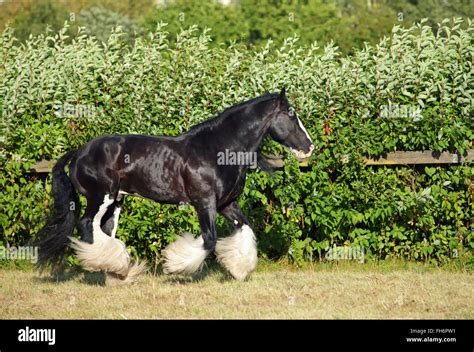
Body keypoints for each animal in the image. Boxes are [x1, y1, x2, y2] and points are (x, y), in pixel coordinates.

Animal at [34, 89, 314, 282]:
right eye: (291, 116)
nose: (309, 146)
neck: (218, 149)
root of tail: (79, 152)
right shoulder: (204, 202)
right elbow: (209, 240)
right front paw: (175, 265)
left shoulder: (226, 204)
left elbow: (245, 228)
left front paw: (239, 270)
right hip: (100, 196)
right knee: (86, 224)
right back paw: (107, 267)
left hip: (117, 200)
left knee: (103, 230)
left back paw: (118, 270)